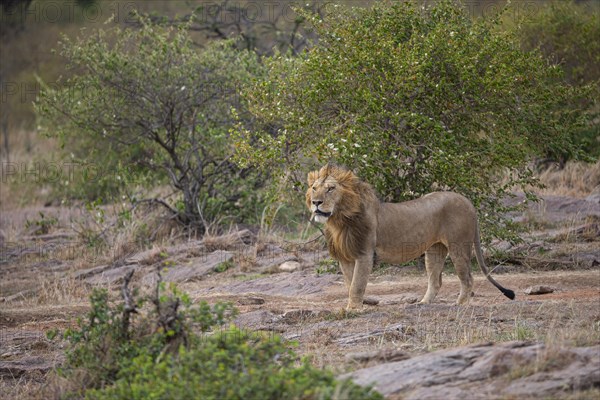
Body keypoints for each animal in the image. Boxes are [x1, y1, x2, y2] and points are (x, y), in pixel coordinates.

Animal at [304, 164, 516, 310]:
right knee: (436, 281)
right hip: (435, 250)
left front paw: (353, 309)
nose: (316, 202)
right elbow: (349, 283)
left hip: (459, 245)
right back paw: (422, 303)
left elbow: (357, 284)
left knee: (468, 278)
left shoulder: (364, 254)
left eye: (331, 188)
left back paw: (460, 304)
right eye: (314, 188)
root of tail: (467, 201)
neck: (340, 220)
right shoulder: (346, 256)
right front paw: (356, 305)